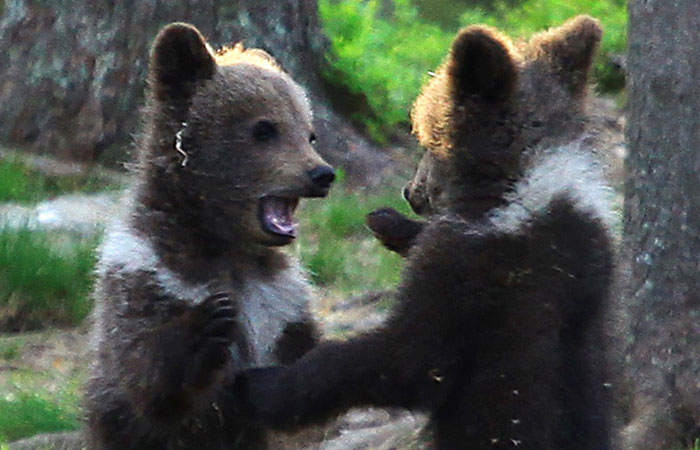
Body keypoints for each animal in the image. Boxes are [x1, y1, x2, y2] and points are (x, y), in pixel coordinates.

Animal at [84, 22, 335, 450]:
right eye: (264, 128)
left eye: (309, 133)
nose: (322, 174)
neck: (223, 245)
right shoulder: (146, 274)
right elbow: (144, 374)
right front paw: (207, 324)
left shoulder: (281, 300)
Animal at [235, 15, 616, 450]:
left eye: (428, 138)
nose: (409, 192)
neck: (517, 187)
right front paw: (388, 222)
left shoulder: (474, 276)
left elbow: (403, 358)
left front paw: (262, 385)